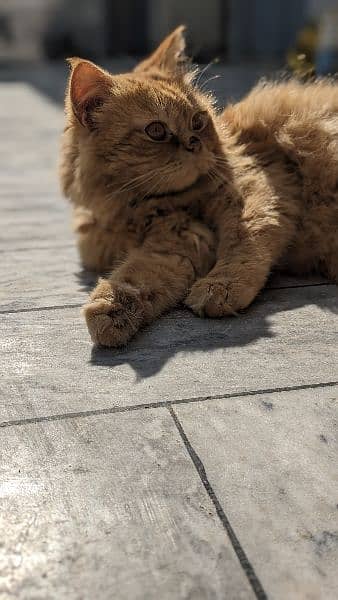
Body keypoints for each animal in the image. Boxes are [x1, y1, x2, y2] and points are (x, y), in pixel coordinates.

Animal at [60, 27, 338, 346]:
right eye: (156, 131)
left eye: (197, 121)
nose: (194, 142)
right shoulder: (178, 244)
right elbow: (137, 278)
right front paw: (112, 310)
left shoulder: (257, 187)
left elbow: (245, 243)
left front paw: (220, 287)